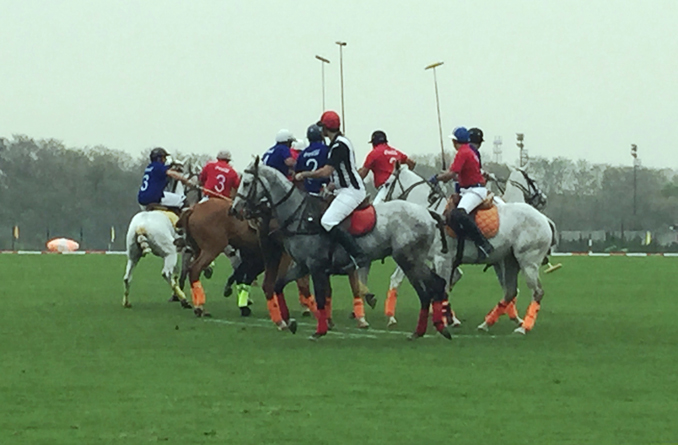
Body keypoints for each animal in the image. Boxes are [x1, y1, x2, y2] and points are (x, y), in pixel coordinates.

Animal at [232, 158, 452, 338]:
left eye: (246, 182)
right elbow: (279, 285)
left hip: (408, 259)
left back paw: (429, 329)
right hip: (412, 259)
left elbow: (321, 297)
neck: (300, 216)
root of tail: (428, 214)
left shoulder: (316, 266)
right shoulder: (303, 265)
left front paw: (319, 330)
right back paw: (432, 329)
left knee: (429, 288)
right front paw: (290, 321)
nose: (234, 209)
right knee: (434, 286)